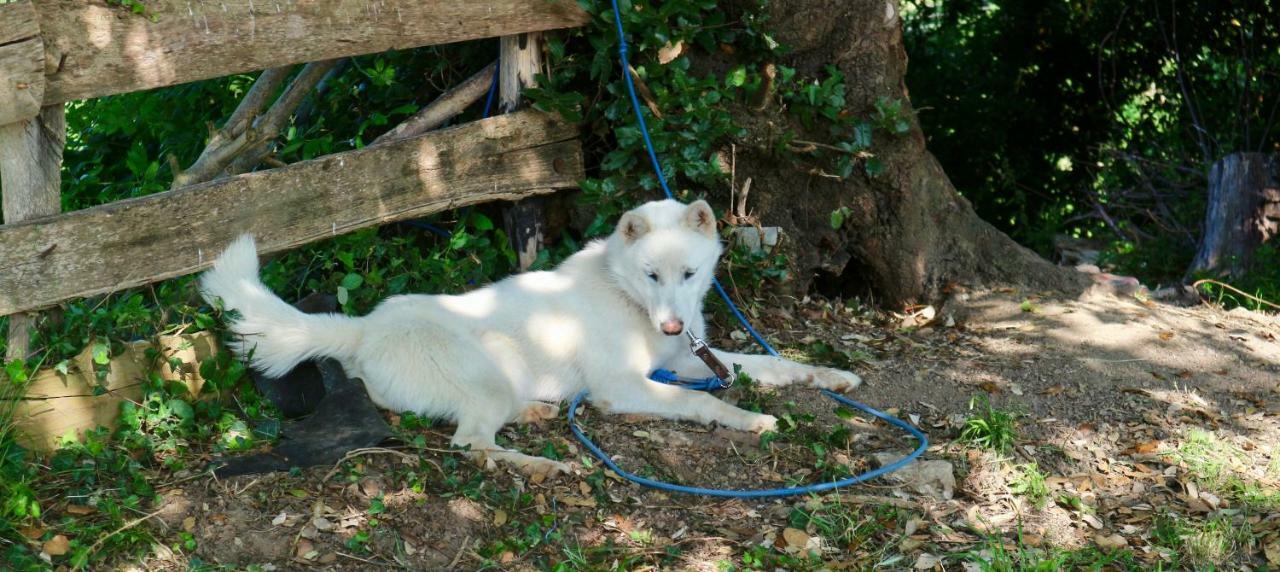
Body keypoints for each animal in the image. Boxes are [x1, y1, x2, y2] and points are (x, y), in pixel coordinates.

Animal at [199, 200, 860, 476]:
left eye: (690, 274)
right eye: (652, 276)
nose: (674, 326)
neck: (627, 294)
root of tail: (364, 326)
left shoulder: (692, 359)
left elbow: (769, 364)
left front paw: (833, 376)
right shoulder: (625, 387)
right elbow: (704, 403)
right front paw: (751, 419)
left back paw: (538, 416)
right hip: (484, 375)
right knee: (470, 444)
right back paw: (542, 465)